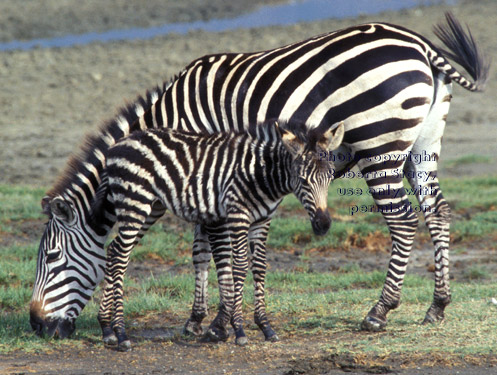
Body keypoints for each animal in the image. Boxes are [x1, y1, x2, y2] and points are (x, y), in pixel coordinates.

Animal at [97, 119, 344, 350]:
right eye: (303, 180)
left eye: (331, 177)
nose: (323, 224)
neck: (262, 175)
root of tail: (119, 144)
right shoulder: (237, 215)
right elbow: (240, 266)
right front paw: (239, 330)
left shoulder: (262, 221)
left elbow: (260, 267)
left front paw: (265, 326)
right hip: (134, 202)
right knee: (120, 256)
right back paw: (121, 333)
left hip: (150, 207)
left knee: (115, 251)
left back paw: (107, 328)